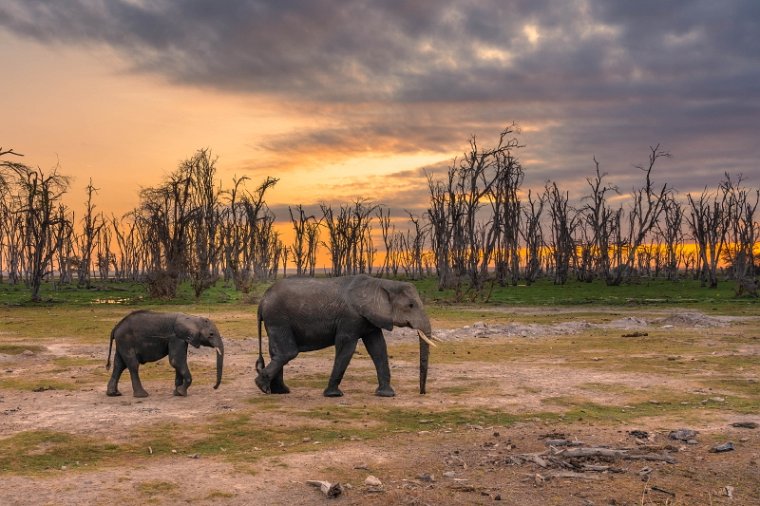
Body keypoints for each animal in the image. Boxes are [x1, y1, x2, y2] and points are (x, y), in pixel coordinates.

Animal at [255, 274, 436, 398]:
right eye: (410, 305)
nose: (422, 392)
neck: (381, 283)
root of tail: (262, 300)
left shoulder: (369, 319)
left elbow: (378, 348)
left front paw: (386, 394)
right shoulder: (350, 318)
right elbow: (346, 347)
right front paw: (333, 395)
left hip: (275, 320)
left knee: (277, 352)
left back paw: (279, 391)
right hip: (278, 318)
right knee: (288, 352)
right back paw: (262, 387)